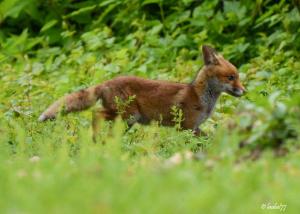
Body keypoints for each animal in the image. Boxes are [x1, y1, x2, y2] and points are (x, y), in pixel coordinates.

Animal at [39, 45, 246, 139]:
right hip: (127, 115)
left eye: (237, 76)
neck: (201, 97)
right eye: (231, 77)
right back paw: (95, 137)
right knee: (96, 113)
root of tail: (106, 82)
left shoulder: (194, 128)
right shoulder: (187, 127)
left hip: (127, 121)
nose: (244, 91)